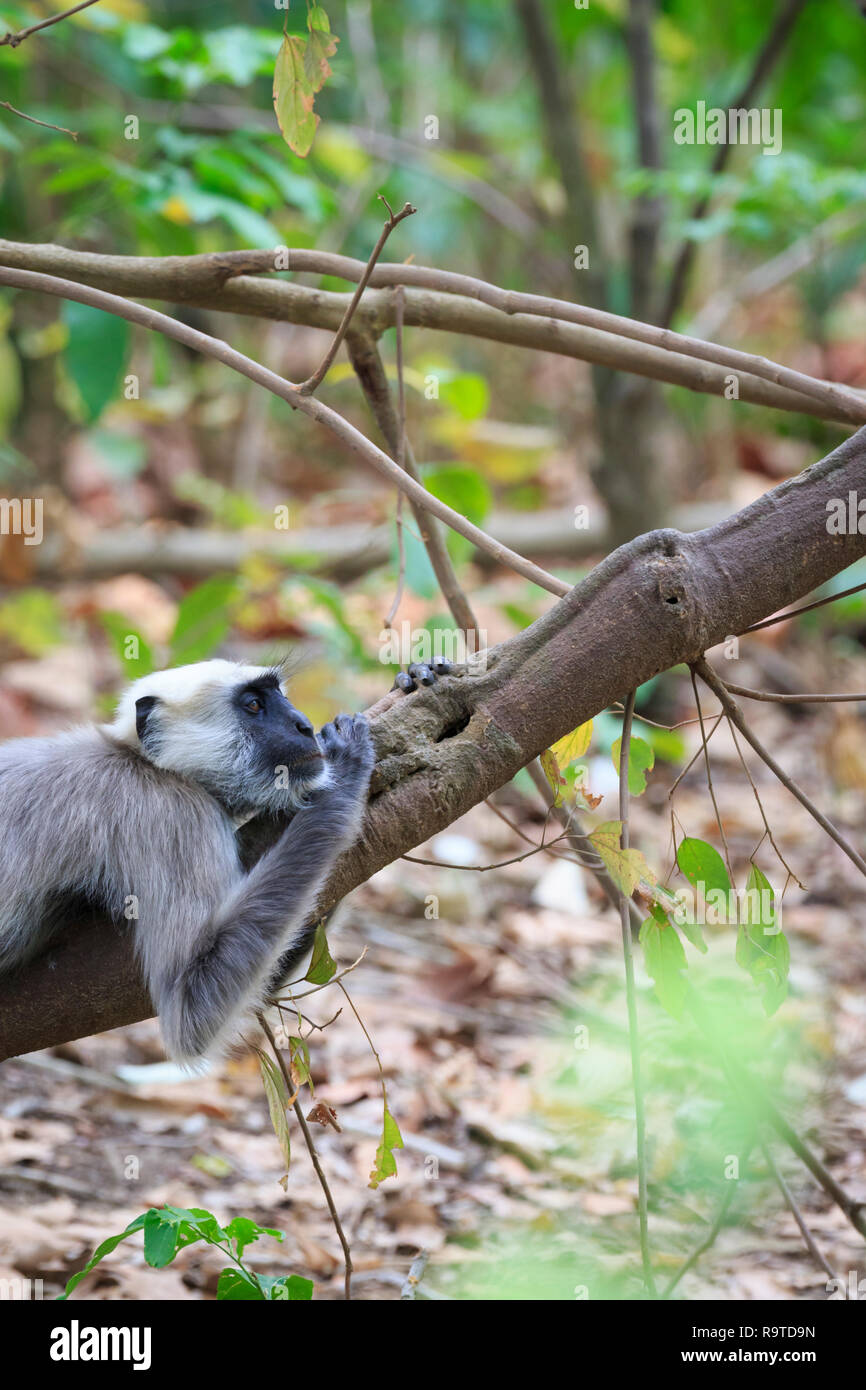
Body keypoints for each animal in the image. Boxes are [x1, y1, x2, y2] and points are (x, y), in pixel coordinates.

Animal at [0, 661, 378, 1061]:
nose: (303, 726)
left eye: (279, 695)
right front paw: (343, 782)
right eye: (254, 705)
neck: (141, 761)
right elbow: (190, 1009)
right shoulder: (176, 814)